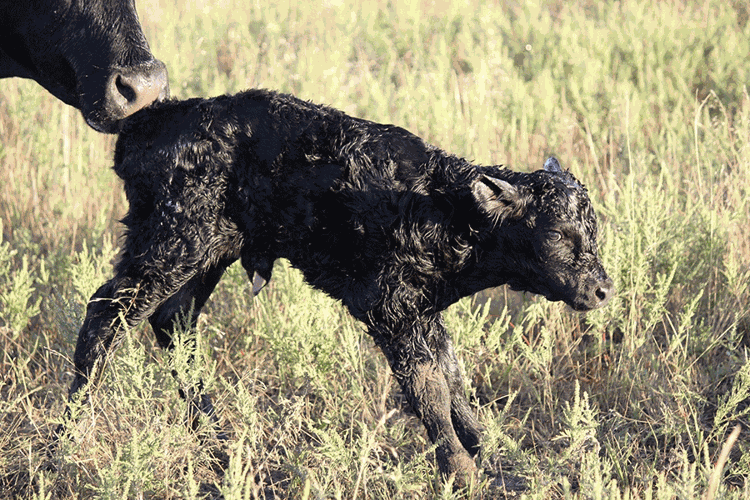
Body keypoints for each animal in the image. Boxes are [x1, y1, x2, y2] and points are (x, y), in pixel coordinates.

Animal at [62, 89, 613, 489]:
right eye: (559, 235)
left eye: (594, 230)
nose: (603, 291)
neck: (443, 207)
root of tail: (153, 120)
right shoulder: (392, 312)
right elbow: (430, 391)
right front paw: (463, 473)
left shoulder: (422, 315)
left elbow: (452, 377)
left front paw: (491, 452)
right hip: (171, 244)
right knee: (107, 312)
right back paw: (67, 435)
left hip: (206, 253)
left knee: (172, 322)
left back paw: (221, 446)